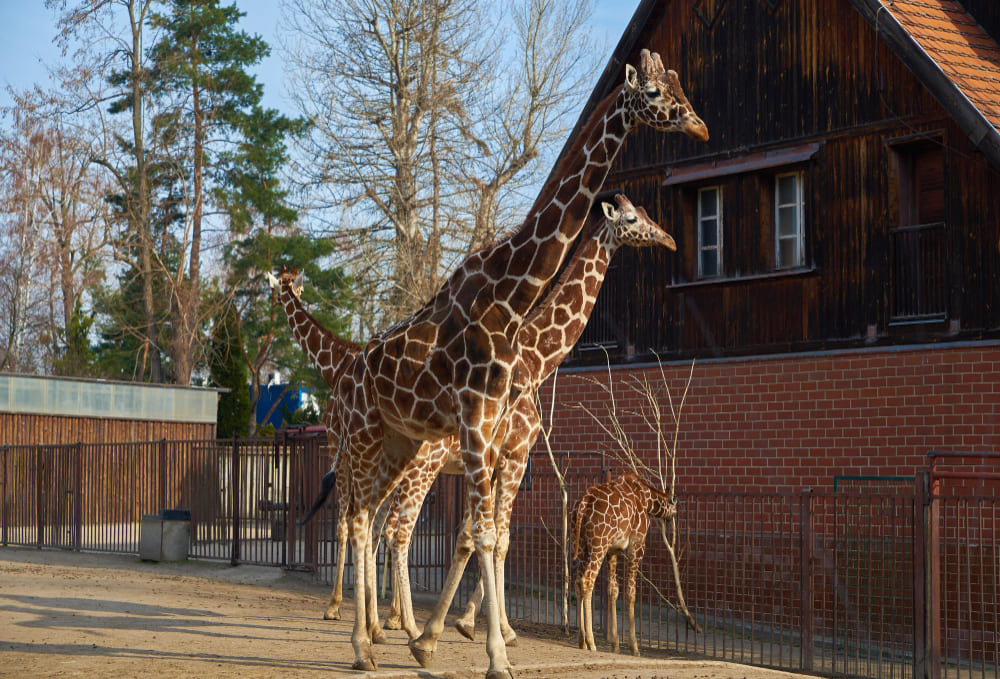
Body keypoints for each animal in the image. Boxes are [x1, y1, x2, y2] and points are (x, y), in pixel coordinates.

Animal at [576, 476, 676, 656]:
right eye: (674, 502)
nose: (672, 517)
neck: (646, 498)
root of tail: (583, 504)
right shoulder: (636, 546)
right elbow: (631, 593)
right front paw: (634, 646)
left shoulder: (613, 550)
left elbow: (613, 590)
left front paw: (615, 643)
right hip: (598, 545)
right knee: (587, 580)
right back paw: (591, 642)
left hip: (582, 546)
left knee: (577, 581)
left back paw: (582, 641)